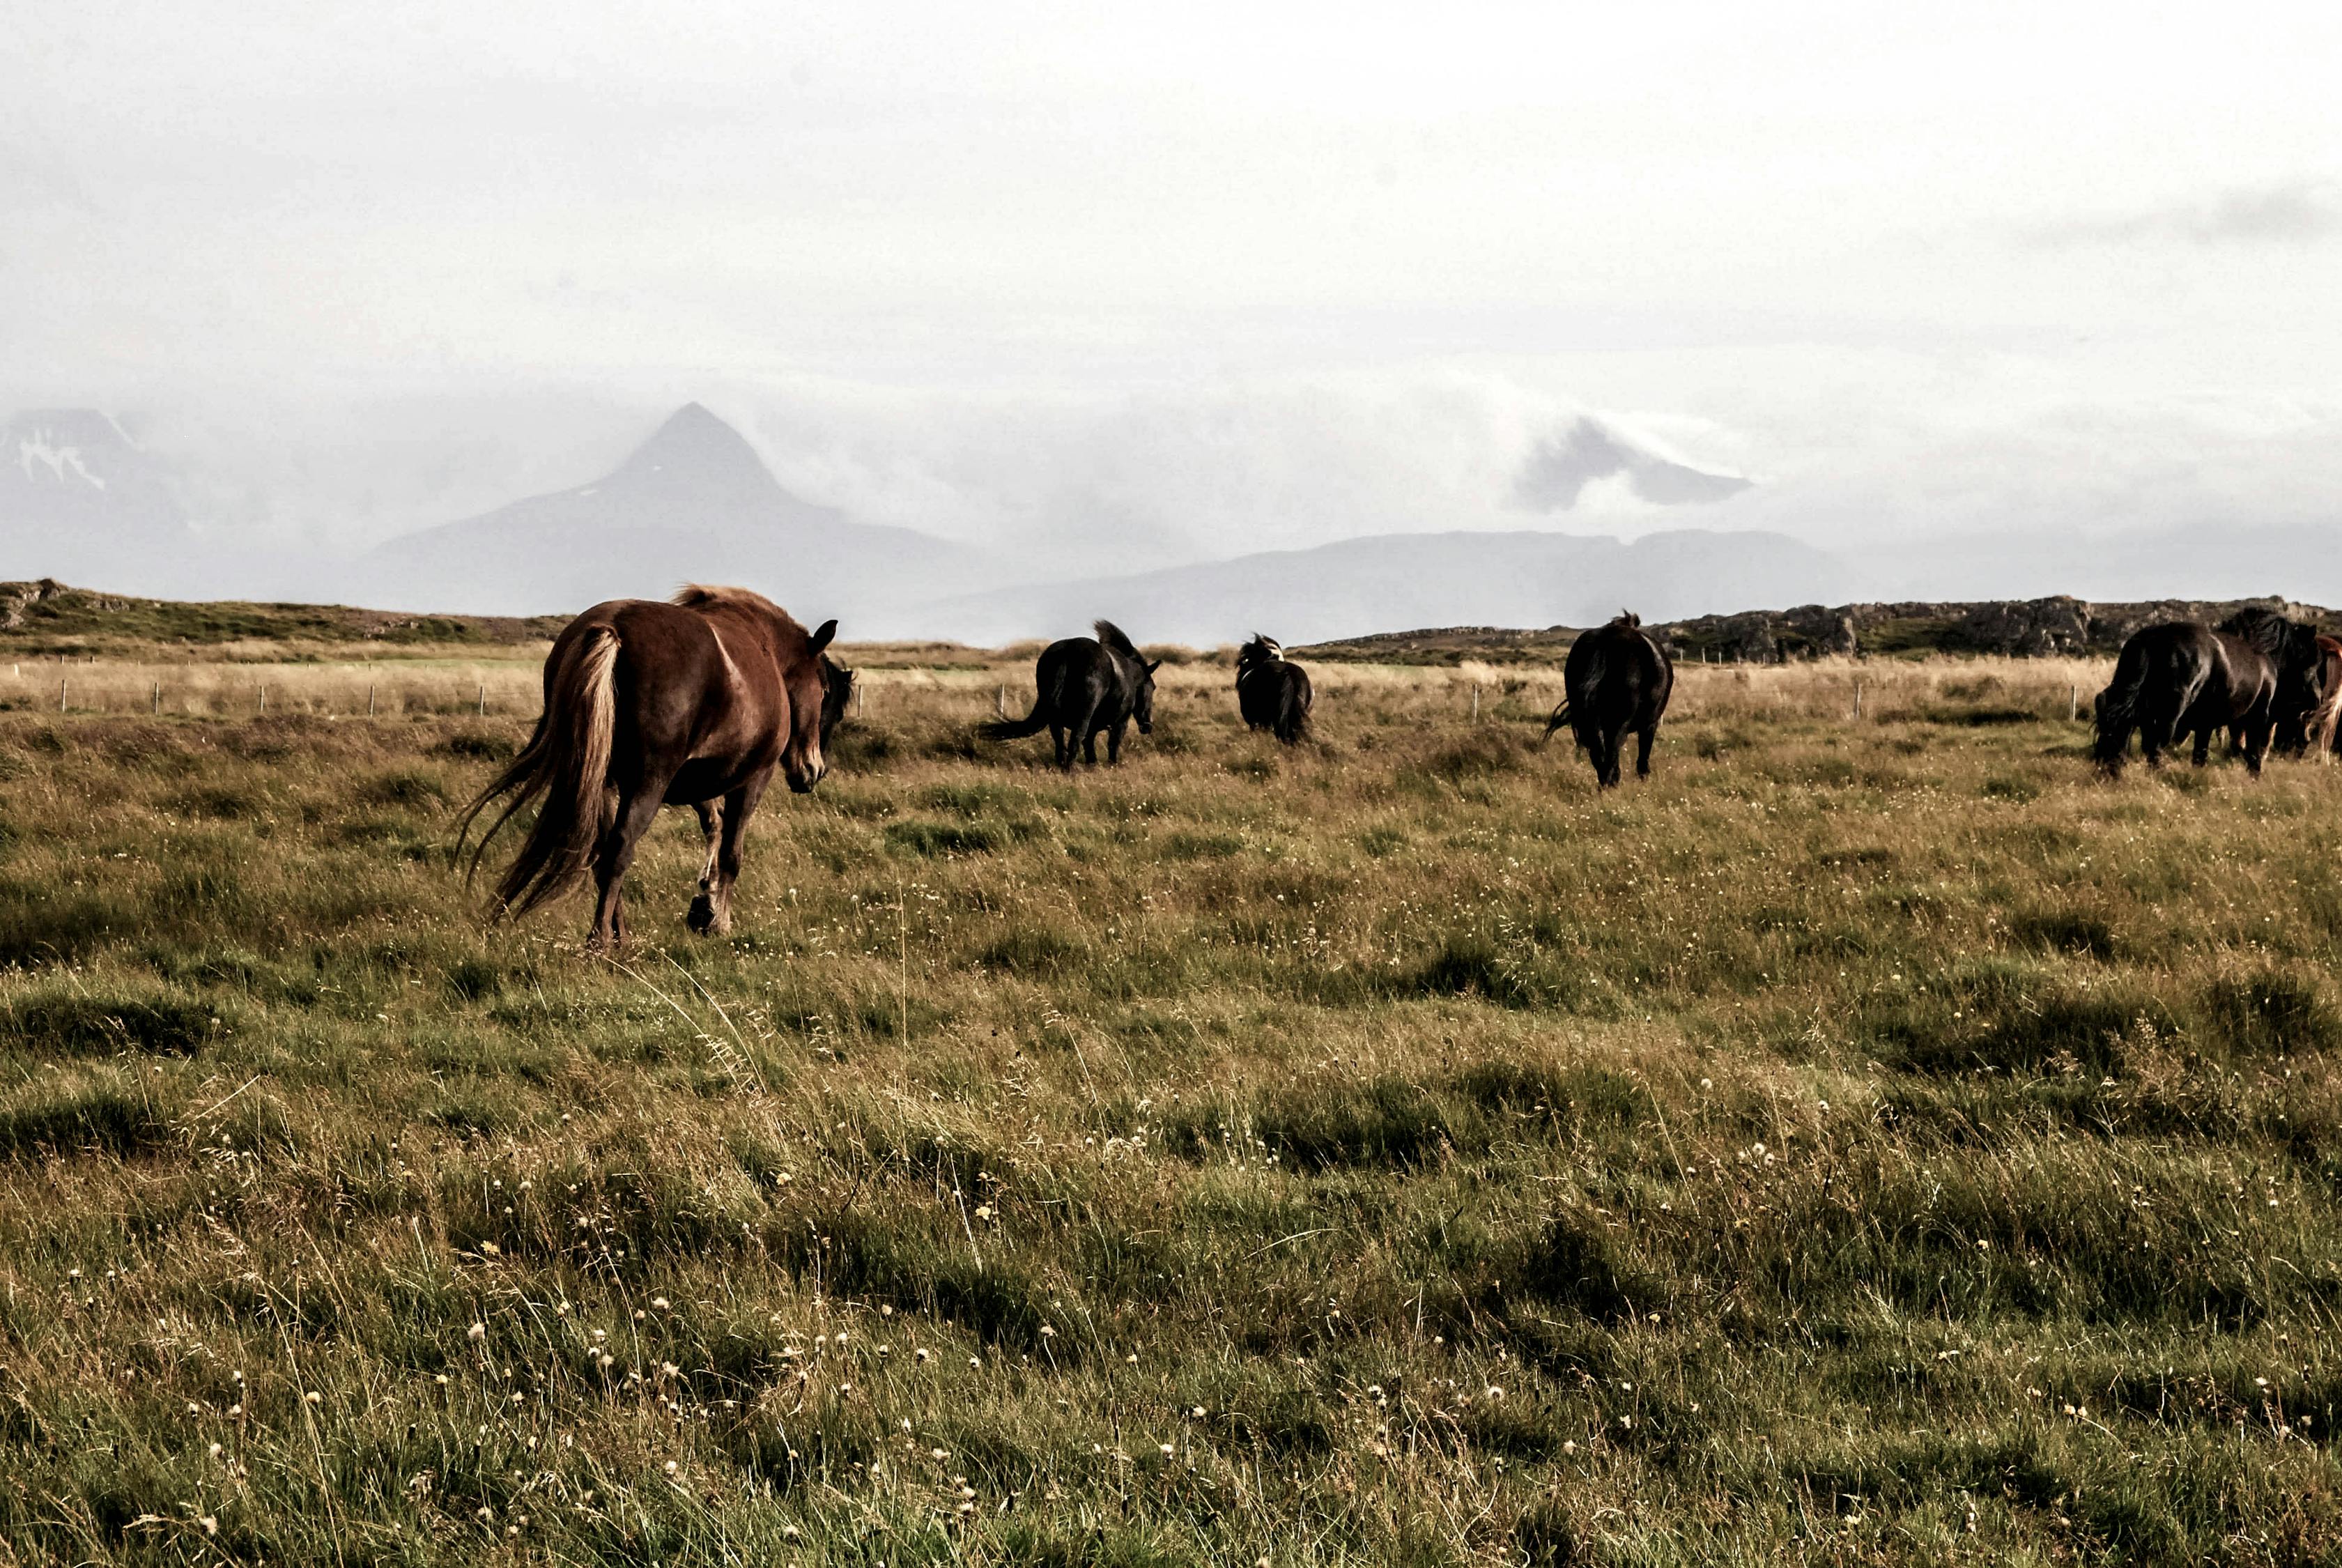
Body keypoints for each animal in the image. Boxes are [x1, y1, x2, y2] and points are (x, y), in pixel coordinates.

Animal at [452, 583, 847, 946]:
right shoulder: (751, 780)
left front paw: (705, 902)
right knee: (619, 849)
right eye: (825, 690)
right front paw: (719, 922)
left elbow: (714, 827)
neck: (766, 650)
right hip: (647, 784)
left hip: (602, 781)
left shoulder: (694, 782)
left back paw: (620, 935)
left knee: (602, 854)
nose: (814, 770)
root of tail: (612, 629)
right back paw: (600, 942)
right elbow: (731, 852)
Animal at [978, 618, 1162, 773]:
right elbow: (1111, 745)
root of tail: (1068, 650)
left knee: (1060, 742)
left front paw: (1093, 765)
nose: (1148, 726)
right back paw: (1070, 770)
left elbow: (1089, 745)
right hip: (1084, 717)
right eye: (1153, 687)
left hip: (1056, 719)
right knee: (1075, 739)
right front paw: (1111, 766)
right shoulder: (1120, 723)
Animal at [1546, 609, 1677, 787]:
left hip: (1589, 721)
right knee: (1611, 753)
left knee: (1598, 753)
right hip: (1619, 721)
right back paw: (1611, 784)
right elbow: (1643, 756)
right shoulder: (1650, 724)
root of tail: (1606, 640)